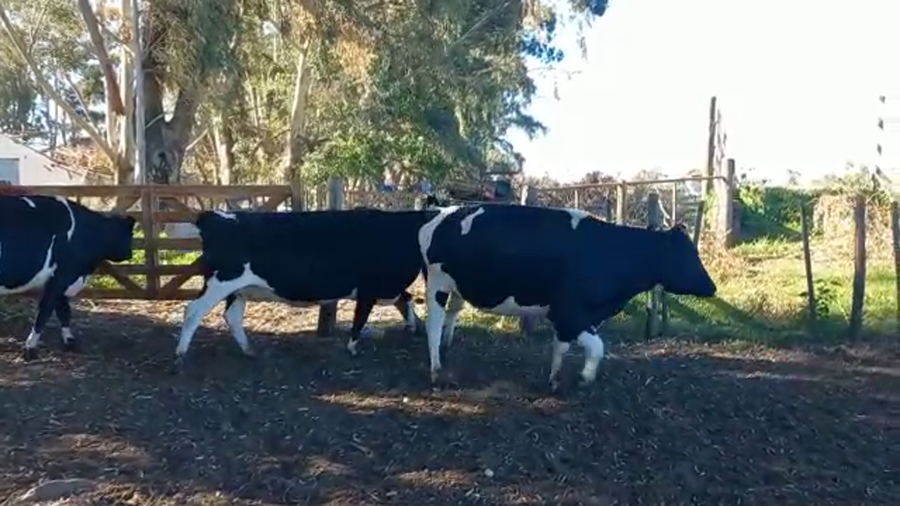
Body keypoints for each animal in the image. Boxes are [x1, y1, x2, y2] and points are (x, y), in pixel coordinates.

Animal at [0, 195, 137, 360]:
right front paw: (30, 348)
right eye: (129, 234)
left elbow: (63, 312)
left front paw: (70, 342)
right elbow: (45, 312)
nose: (129, 254)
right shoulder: (62, 277)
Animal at [173, 208, 436, 362]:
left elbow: (405, 299)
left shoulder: (387, 287)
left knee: (232, 316)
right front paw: (352, 348)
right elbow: (360, 319)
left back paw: (249, 350)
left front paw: (413, 326)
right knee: (193, 311)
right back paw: (181, 353)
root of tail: (213, 216)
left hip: (237, 290)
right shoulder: (369, 288)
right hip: (221, 282)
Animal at [417, 204, 717, 390]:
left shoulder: (572, 317)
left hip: (457, 287)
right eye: (687, 255)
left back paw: (447, 349)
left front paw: (553, 379)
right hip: (436, 285)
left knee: (451, 315)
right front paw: (585, 377)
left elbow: (560, 347)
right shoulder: (569, 312)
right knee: (432, 325)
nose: (712, 287)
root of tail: (442, 212)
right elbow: (597, 347)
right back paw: (435, 370)